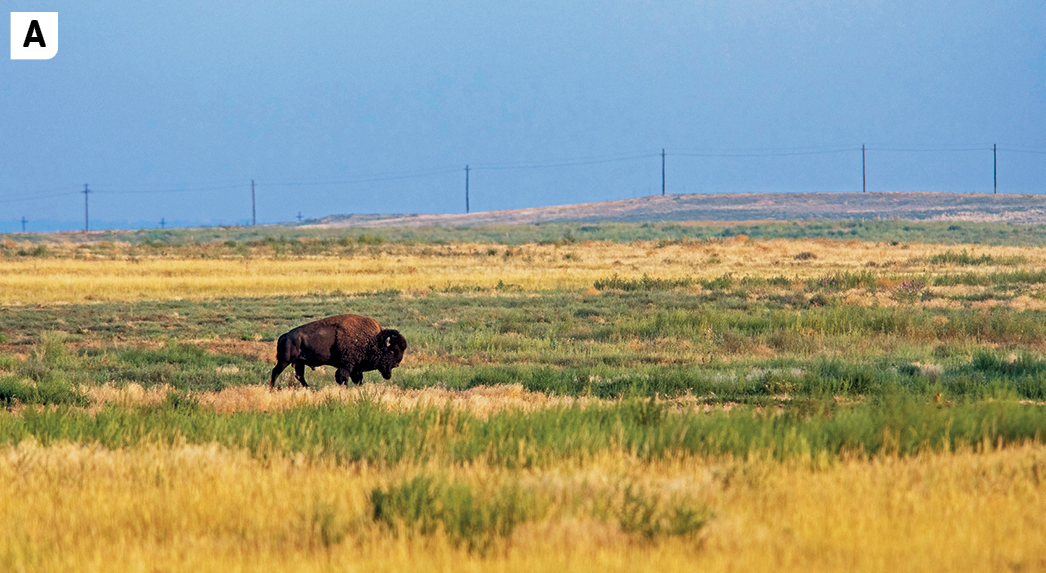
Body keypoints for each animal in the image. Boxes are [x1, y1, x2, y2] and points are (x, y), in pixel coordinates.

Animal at [271, 313, 405, 388]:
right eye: (392, 351)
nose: (397, 364)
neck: (373, 340)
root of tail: (285, 336)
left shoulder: (356, 368)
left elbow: (357, 380)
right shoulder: (346, 366)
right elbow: (343, 379)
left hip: (299, 362)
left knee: (299, 376)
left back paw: (310, 389)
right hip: (285, 360)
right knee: (275, 372)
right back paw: (271, 389)